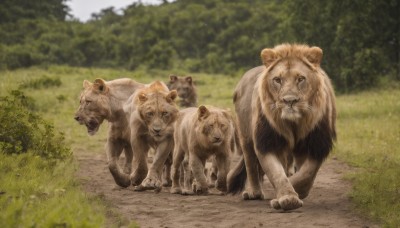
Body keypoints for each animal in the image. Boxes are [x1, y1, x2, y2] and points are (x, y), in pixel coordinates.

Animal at [227, 43, 336, 211]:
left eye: (300, 79)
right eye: (277, 80)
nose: (289, 100)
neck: (294, 123)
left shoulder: (316, 143)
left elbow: (306, 174)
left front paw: (296, 191)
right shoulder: (267, 141)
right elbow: (276, 173)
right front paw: (288, 198)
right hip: (245, 136)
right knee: (250, 162)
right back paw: (254, 192)